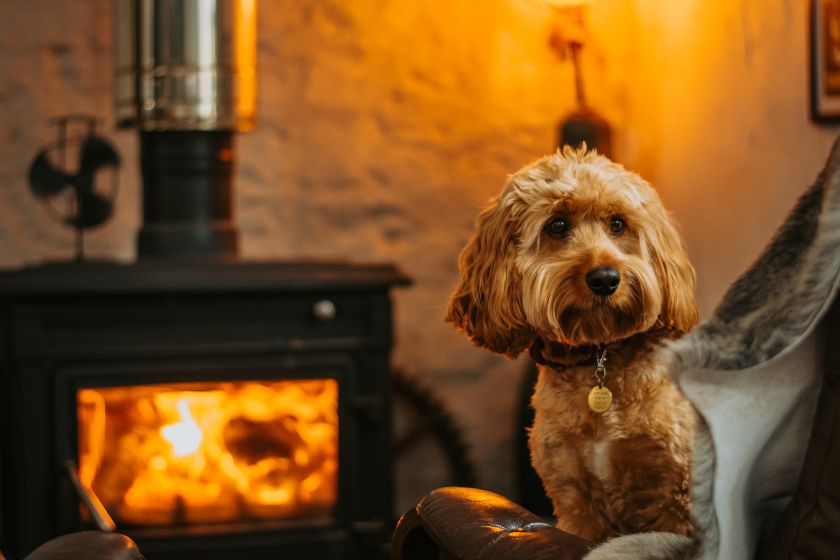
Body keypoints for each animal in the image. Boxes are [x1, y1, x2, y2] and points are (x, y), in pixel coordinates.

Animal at [450, 145, 700, 548]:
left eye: (618, 224)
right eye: (557, 226)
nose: (605, 278)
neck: (599, 357)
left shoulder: (676, 495)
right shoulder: (574, 498)